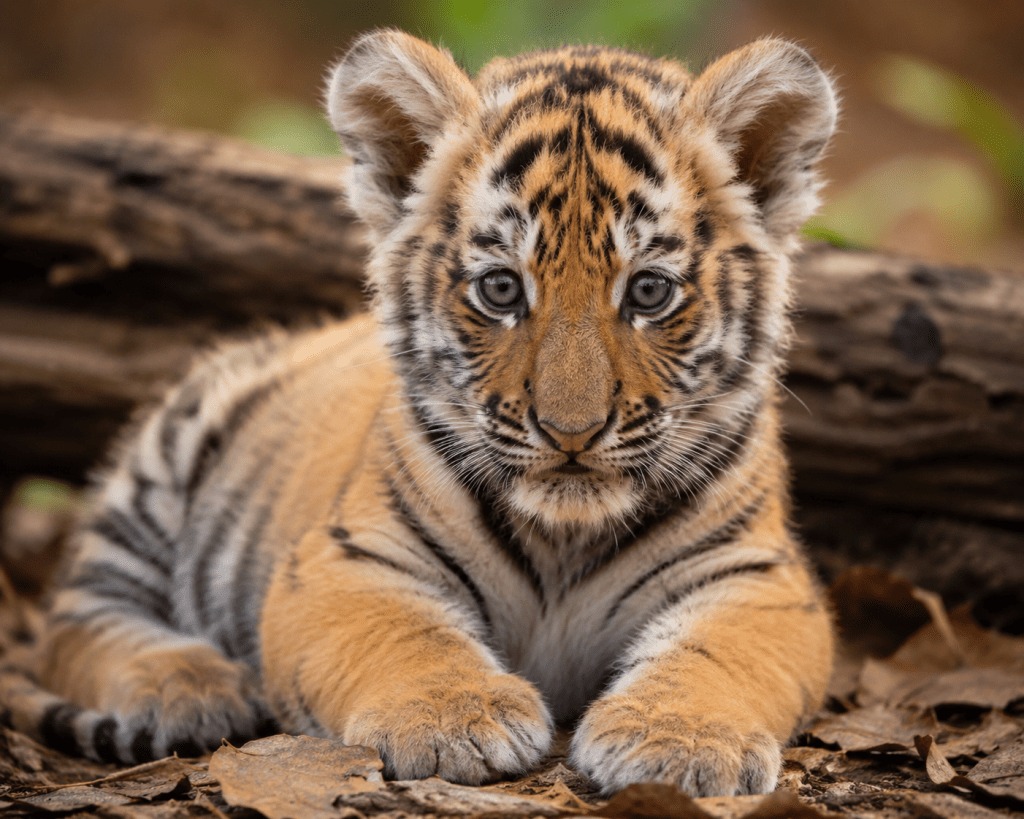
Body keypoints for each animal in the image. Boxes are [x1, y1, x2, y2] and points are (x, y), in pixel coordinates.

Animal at [0, 30, 838, 797]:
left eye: (650, 292)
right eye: (500, 289)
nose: (570, 432)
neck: (563, 536)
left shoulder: (759, 575)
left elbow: (723, 653)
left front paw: (682, 739)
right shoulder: (344, 557)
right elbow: (404, 633)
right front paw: (453, 716)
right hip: (163, 461)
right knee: (75, 621)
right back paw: (192, 685)